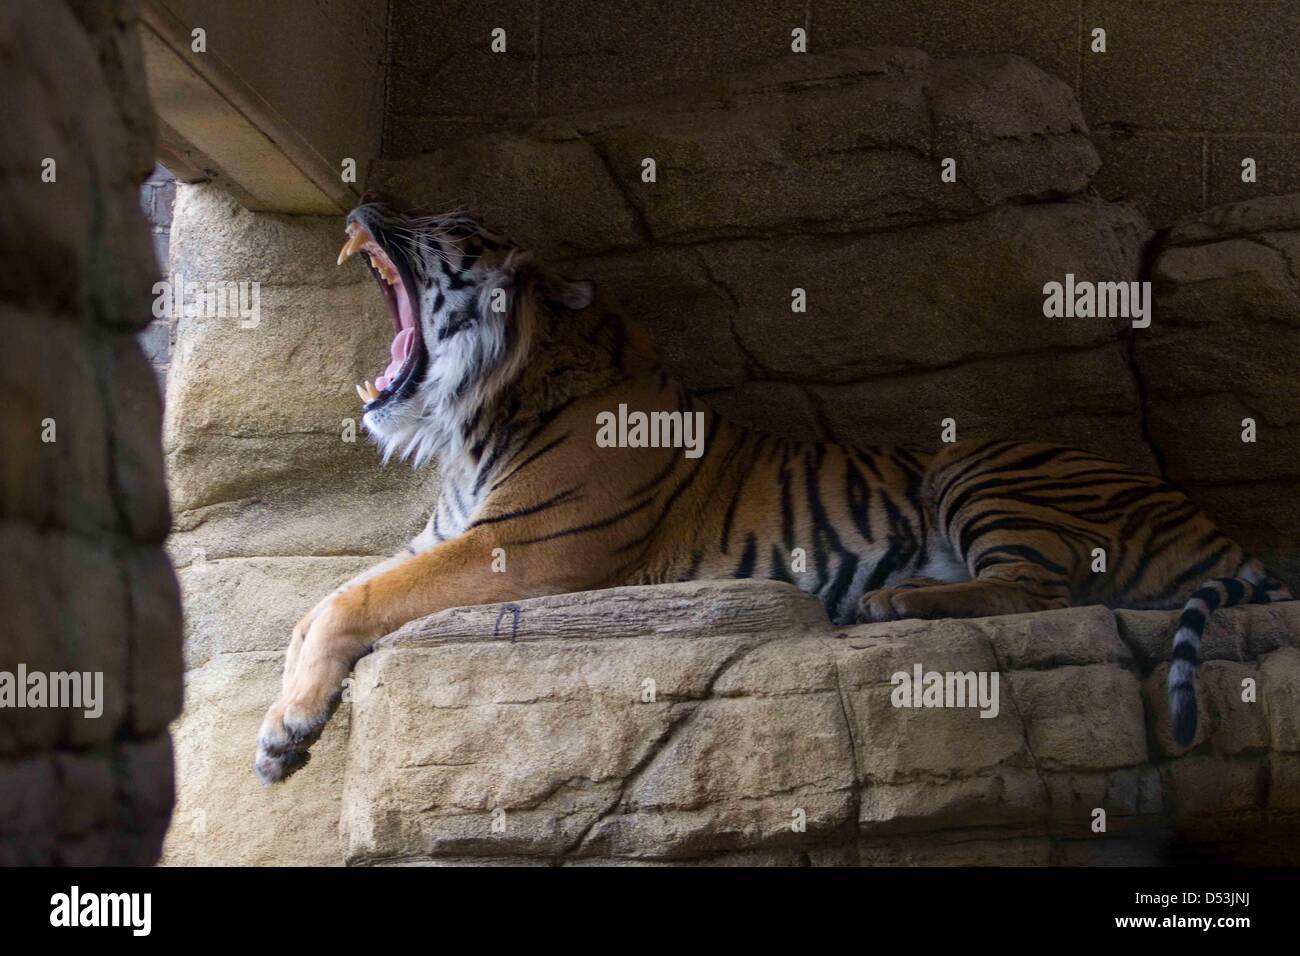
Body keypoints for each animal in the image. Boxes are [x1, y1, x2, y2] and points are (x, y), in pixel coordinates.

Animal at [250, 192, 1289, 785]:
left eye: (454, 229)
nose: (363, 196)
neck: (478, 418)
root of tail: (1218, 526)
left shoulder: (525, 547)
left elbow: (347, 600)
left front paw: (287, 722)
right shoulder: (445, 539)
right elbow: (316, 602)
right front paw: (280, 728)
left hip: (980, 467)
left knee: (1044, 587)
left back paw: (893, 603)